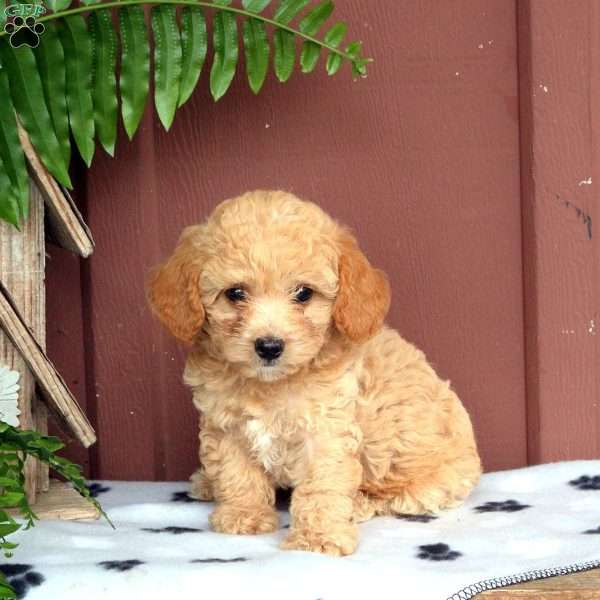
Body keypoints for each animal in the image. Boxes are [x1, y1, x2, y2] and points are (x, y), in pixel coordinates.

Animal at [148, 190, 480, 556]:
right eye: (235, 293)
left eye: (304, 293)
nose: (269, 346)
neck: (271, 385)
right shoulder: (226, 427)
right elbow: (237, 473)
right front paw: (243, 515)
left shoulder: (326, 430)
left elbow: (322, 487)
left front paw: (318, 538)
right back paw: (206, 481)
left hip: (427, 475)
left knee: (399, 496)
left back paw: (360, 504)